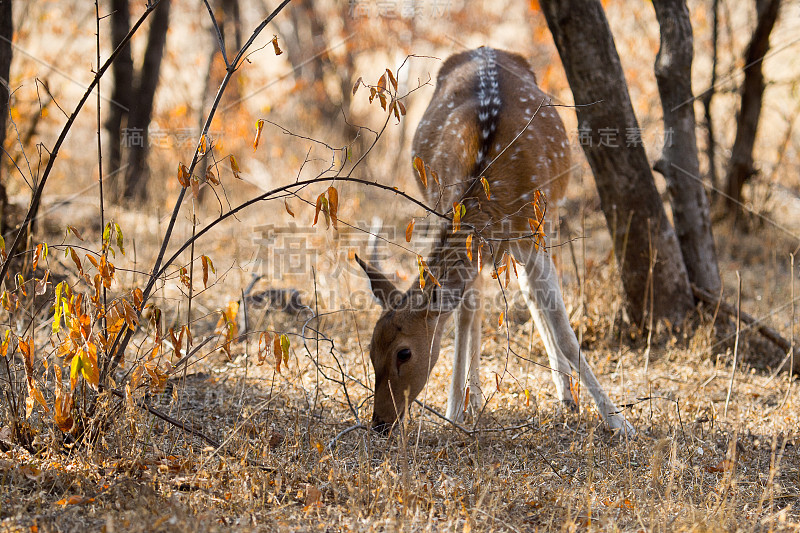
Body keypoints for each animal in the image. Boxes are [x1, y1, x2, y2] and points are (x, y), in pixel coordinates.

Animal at [360, 47, 636, 434]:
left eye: (404, 352)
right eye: (371, 350)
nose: (380, 422)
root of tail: (485, 48)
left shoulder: (531, 233)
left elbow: (565, 332)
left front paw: (618, 421)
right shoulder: (448, 217)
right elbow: (465, 316)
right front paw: (455, 412)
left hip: (547, 219)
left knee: (531, 297)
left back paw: (566, 395)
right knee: (476, 307)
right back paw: (477, 399)